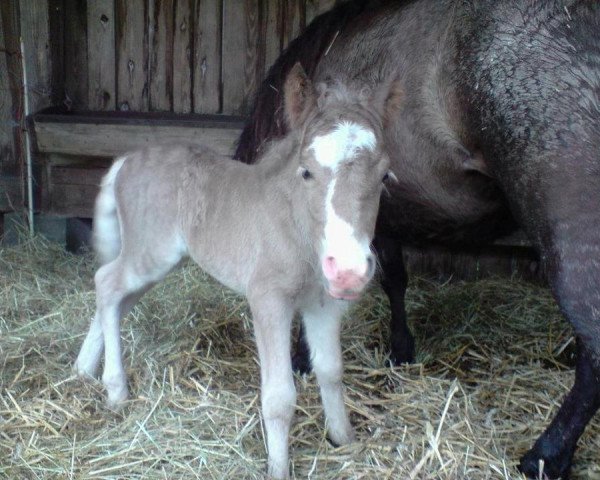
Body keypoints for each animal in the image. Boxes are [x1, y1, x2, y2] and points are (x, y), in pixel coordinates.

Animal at [75, 64, 400, 480]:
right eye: (306, 172)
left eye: (385, 176)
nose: (349, 270)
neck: (297, 231)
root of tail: (126, 159)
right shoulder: (268, 300)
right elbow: (279, 397)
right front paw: (278, 469)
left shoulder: (324, 304)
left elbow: (331, 370)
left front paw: (344, 440)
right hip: (151, 255)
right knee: (107, 283)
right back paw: (115, 389)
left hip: (155, 263)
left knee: (116, 299)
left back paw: (84, 369)